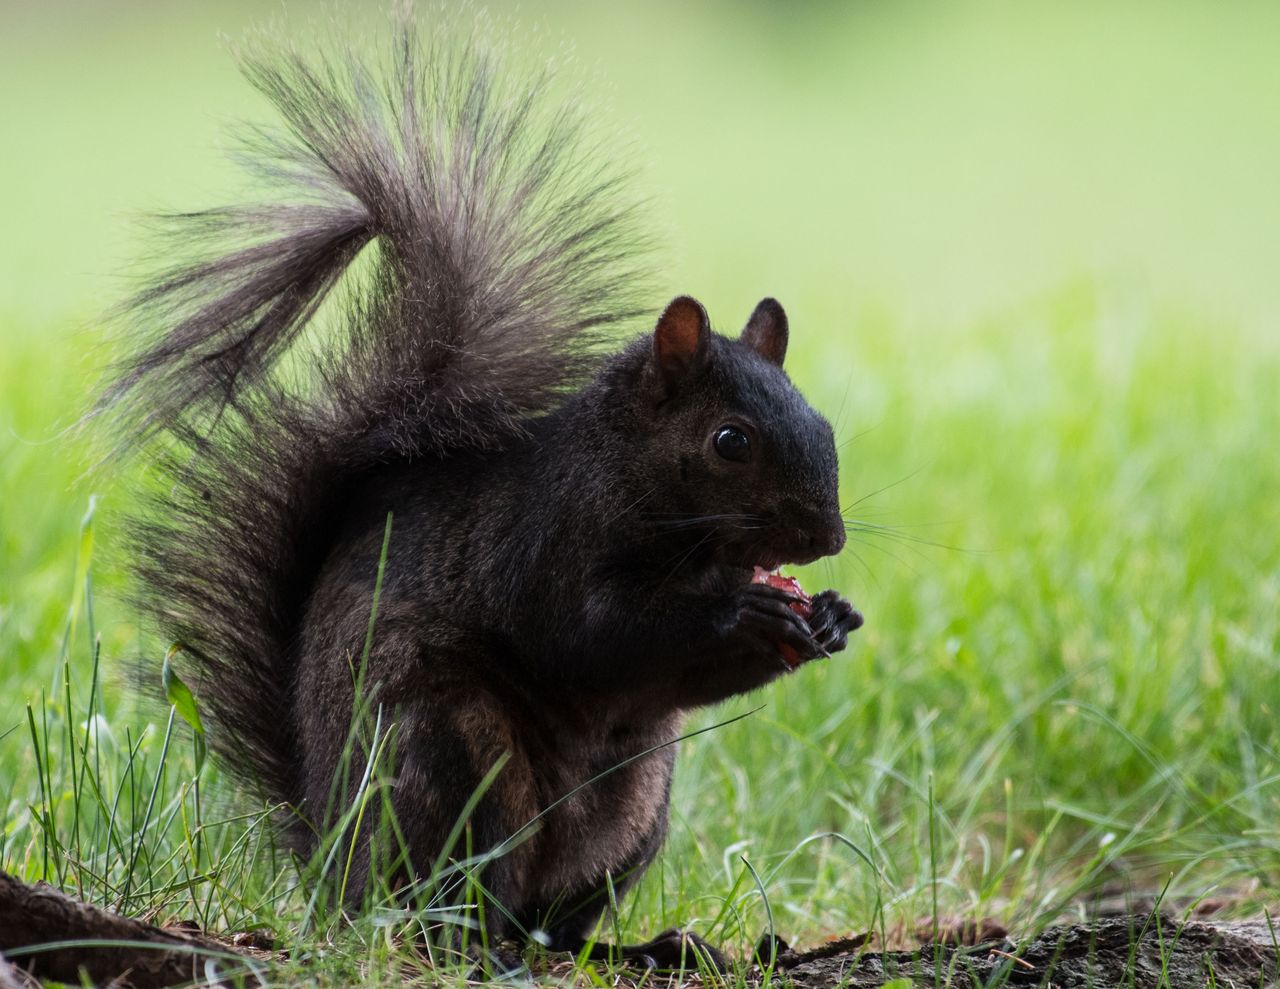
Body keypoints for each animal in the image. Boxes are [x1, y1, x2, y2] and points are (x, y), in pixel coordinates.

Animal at [102, 24, 862, 971]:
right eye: (731, 441)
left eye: (823, 421)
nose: (828, 538)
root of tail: (330, 866)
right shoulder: (541, 543)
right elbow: (590, 635)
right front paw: (745, 614)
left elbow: (687, 675)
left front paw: (829, 616)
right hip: (453, 753)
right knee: (449, 905)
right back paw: (480, 947)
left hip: (635, 805)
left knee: (556, 920)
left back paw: (646, 948)